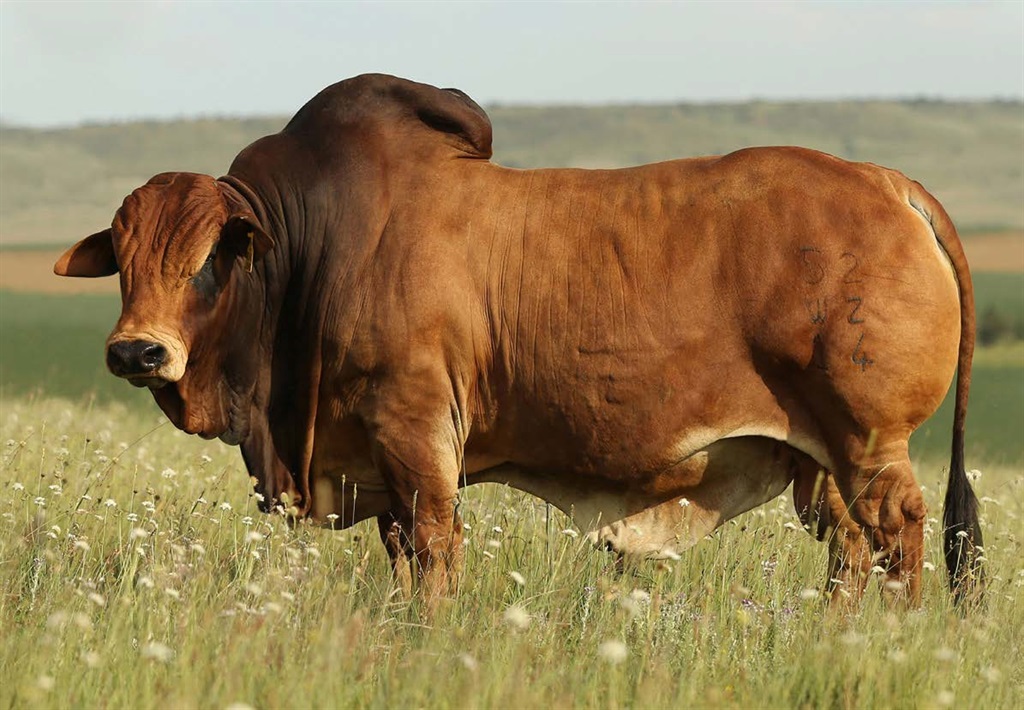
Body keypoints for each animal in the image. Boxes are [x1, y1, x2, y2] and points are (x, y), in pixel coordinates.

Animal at [54, 73, 982, 606]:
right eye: (123, 257)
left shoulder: (416, 434)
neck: (308, 251)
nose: (137, 352)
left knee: (898, 533)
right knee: (851, 552)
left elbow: (436, 553)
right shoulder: (380, 466)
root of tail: (887, 183)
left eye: (209, 259)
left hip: (869, 443)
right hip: (820, 461)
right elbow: (404, 556)